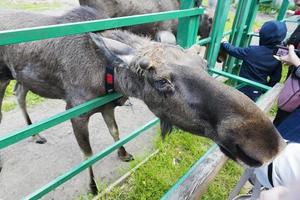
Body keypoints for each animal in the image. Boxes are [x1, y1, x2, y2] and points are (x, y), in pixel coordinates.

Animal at [0, 6, 286, 195]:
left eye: (203, 63)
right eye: (161, 81)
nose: (266, 143)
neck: (108, 76)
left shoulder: (106, 107)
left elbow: (115, 132)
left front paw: (124, 153)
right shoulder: (76, 111)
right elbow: (88, 155)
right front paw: (93, 187)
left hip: (20, 76)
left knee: (20, 93)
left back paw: (35, 133)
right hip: (3, 76)